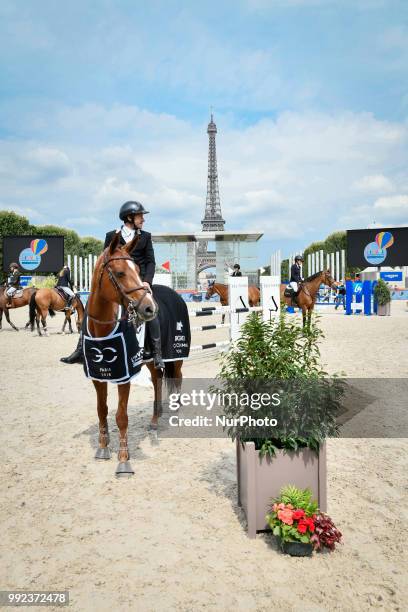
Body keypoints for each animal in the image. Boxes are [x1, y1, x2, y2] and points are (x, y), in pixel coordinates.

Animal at [87, 232, 183, 476]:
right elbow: (102, 410)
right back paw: (155, 420)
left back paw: (177, 414)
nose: (150, 309)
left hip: (177, 355)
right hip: (150, 361)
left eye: (138, 271)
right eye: (120, 272)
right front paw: (103, 448)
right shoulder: (98, 376)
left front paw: (123, 460)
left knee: (177, 379)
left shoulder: (125, 377)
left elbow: (121, 417)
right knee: (157, 380)